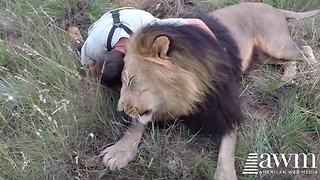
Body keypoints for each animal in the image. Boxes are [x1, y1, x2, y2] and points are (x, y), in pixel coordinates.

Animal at [100, 2, 320, 180]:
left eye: (131, 79)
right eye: (122, 80)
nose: (120, 109)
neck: (183, 91)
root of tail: (273, 8)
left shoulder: (226, 108)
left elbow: (227, 148)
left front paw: (225, 175)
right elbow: (137, 124)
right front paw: (120, 151)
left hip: (276, 44)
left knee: (306, 50)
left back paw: (308, 74)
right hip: (266, 55)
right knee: (292, 59)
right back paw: (287, 77)